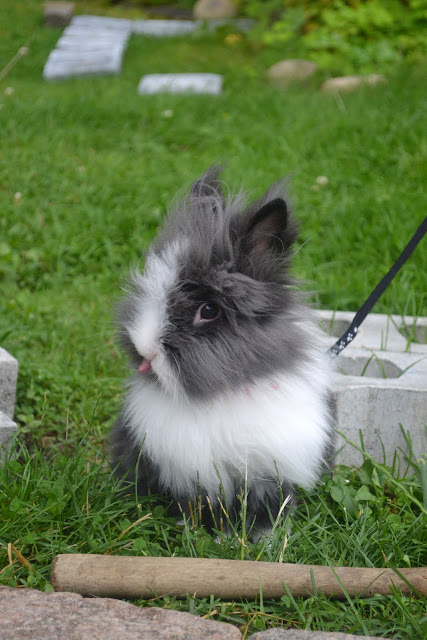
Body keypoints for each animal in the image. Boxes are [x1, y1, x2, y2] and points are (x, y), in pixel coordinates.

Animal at [110, 165, 335, 540]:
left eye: (209, 310)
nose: (145, 350)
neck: (223, 393)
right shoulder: (193, 472)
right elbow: (202, 506)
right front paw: (209, 535)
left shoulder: (268, 470)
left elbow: (268, 506)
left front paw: (265, 538)